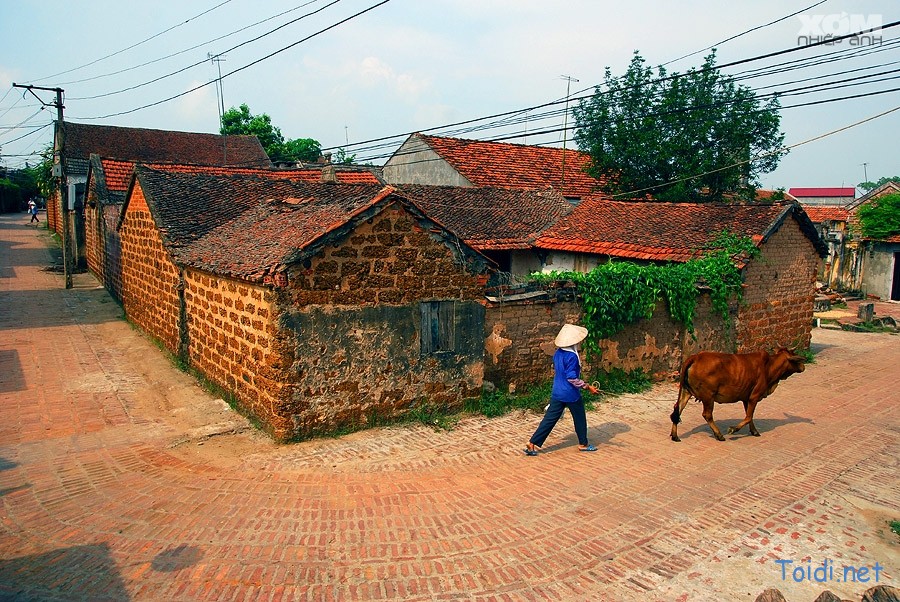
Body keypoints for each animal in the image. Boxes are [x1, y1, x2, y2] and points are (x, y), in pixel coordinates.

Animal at [668, 346, 808, 440]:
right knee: (707, 414)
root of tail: (695, 357)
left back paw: (675, 435)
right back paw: (719, 435)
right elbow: (749, 416)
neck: (769, 366)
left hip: (686, 391)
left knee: (677, 409)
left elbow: (749, 416)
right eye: (795, 359)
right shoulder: (754, 396)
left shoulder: (746, 398)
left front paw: (754, 431)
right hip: (708, 396)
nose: (803, 366)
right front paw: (733, 429)